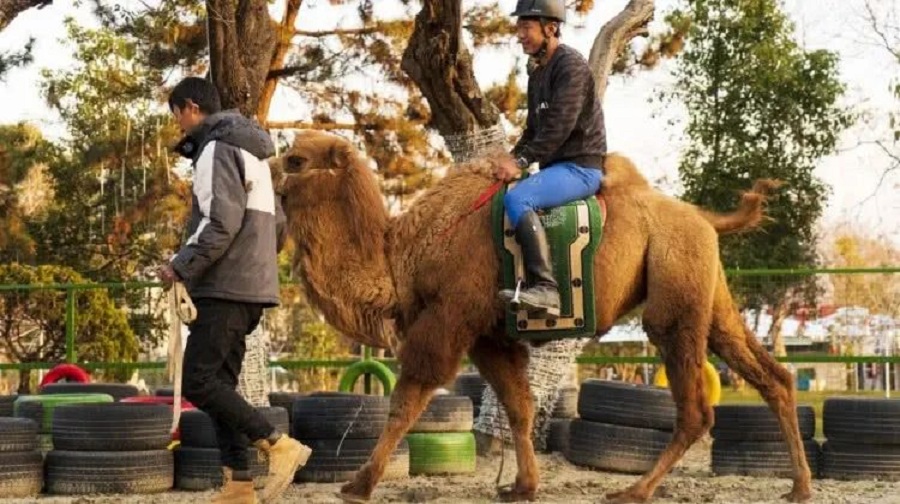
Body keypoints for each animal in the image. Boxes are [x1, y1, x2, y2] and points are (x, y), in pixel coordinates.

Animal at [270, 131, 812, 504]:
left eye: (295, 160)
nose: (264, 166)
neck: (404, 257)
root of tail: (704, 217)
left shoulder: (448, 319)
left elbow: (406, 402)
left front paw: (357, 485)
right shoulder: (489, 337)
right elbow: (519, 407)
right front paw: (521, 486)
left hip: (674, 302)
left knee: (697, 407)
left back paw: (634, 491)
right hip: (709, 295)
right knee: (774, 377)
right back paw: (798, 487)